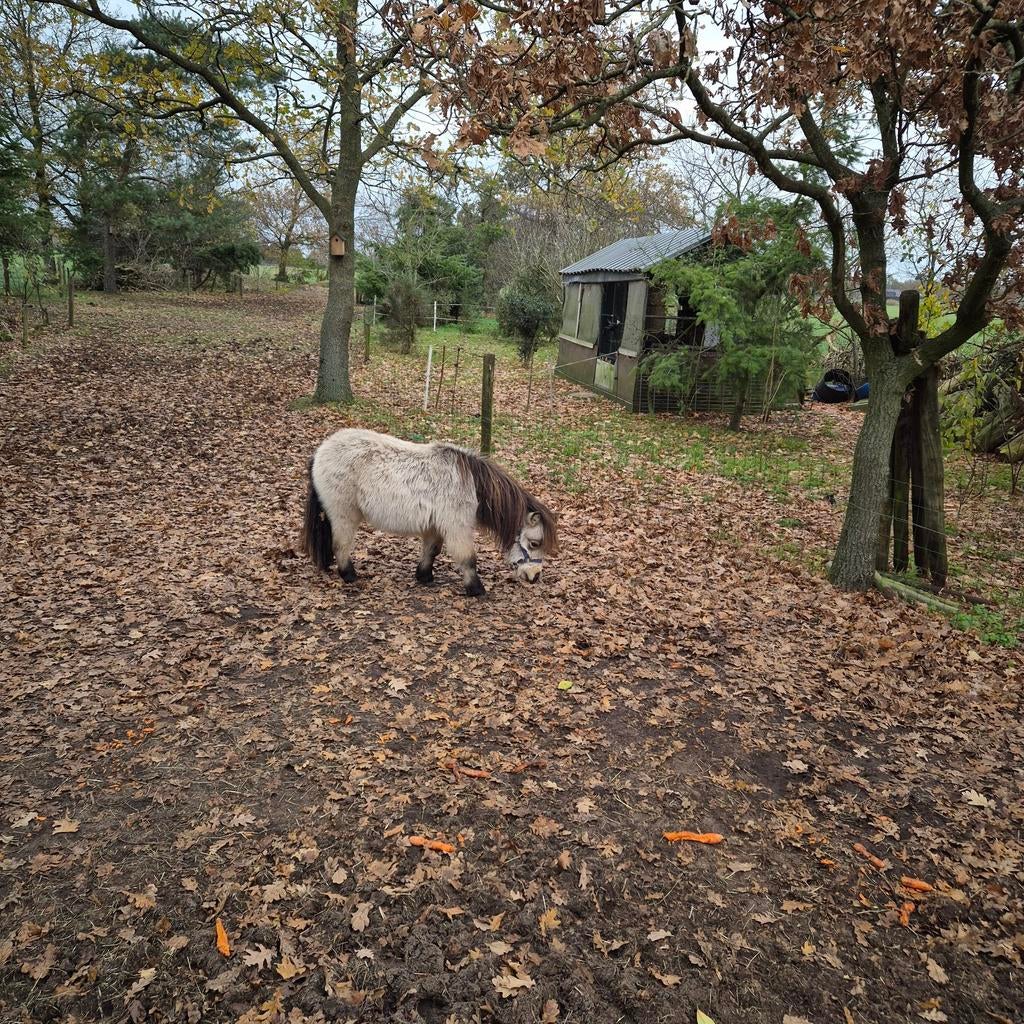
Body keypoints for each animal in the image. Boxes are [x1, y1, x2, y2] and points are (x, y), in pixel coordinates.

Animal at [301, 428, 558, 596]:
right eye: (535, 543)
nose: (534, 577)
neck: (472, 484)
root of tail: (320, 452)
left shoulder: (435, 526)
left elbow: (432, 550)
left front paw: (424, 576)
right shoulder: (457, 527)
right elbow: (468, 558)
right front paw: (476, 589)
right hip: (343, 514)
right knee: (341, 545)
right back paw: (349, 575)